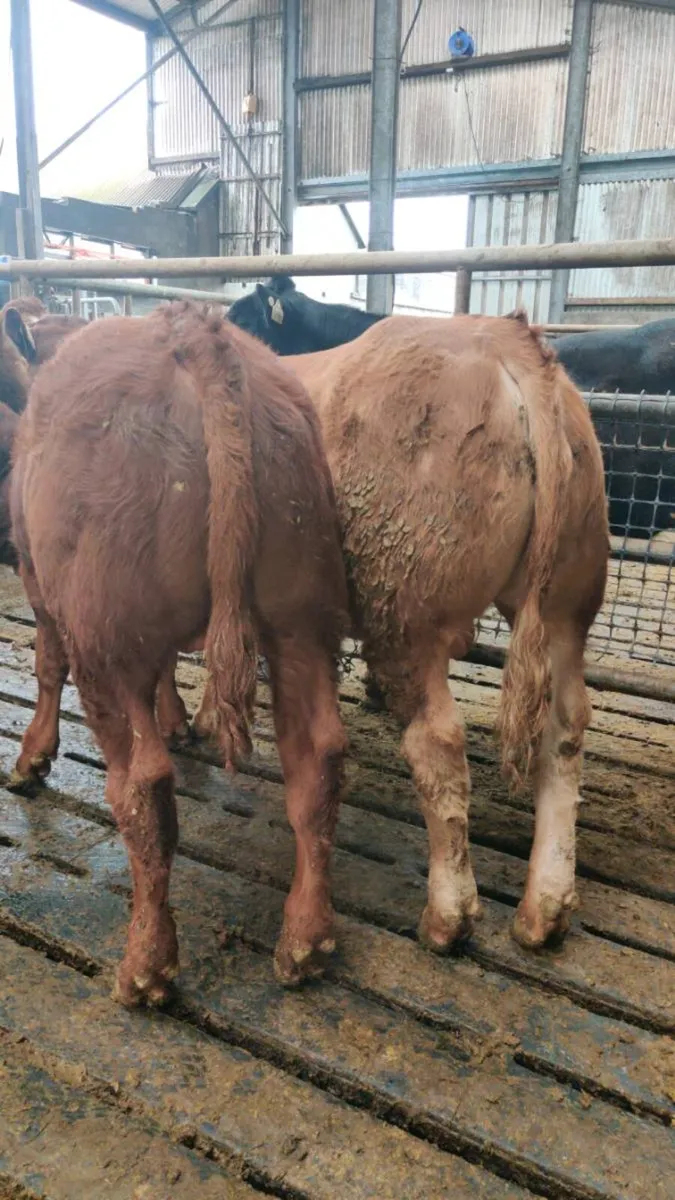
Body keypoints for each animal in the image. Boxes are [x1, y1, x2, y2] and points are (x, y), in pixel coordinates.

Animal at [11, 302, 349, 1004]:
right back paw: (305, 940)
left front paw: (32, 758)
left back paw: (146, 963)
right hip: (301, 622)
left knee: (143, 790)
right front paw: (176, 720)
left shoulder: (36, 578)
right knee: (319, 761)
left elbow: (47, 665)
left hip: (108, 644)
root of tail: (191, 330)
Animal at [194, 312, 609, 953]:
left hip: (407, 607)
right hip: (568, 600)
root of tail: (505, 337)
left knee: (437, 743)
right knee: (564, 729)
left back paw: (448, 916)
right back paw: (545, 909)